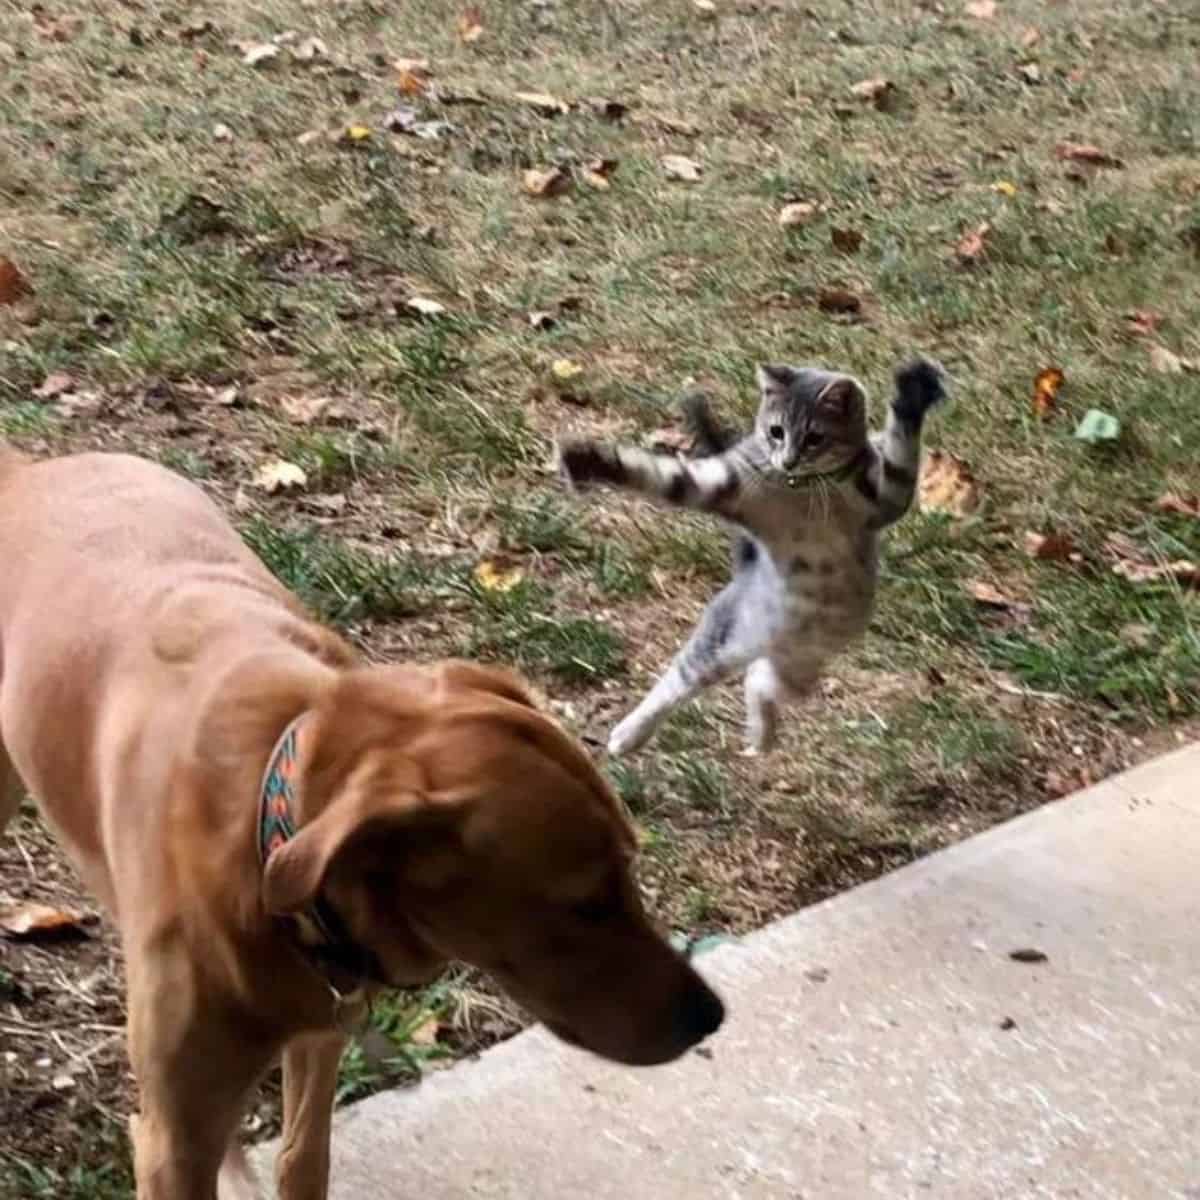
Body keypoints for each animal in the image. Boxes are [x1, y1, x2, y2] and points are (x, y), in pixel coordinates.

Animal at [0, 446, 720, 1200]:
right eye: (584, 905)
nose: (712, 1017)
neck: (267, 817)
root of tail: (32, 465)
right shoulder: (173, 1140)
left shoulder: (324, 1026)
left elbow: (302, 1155)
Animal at [556, 350, 940, 753]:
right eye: (776, 432)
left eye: (815, 438)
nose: (787, 461)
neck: (801, 487)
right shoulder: (725, 482)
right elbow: (664, 476)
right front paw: (587, 461)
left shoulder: (886, 497)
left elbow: (900, 457)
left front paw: (914, 392)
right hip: (725, 640)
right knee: (686, 681)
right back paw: (628, 735)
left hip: (799, 664)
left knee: (758, 679)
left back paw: (761, 735)